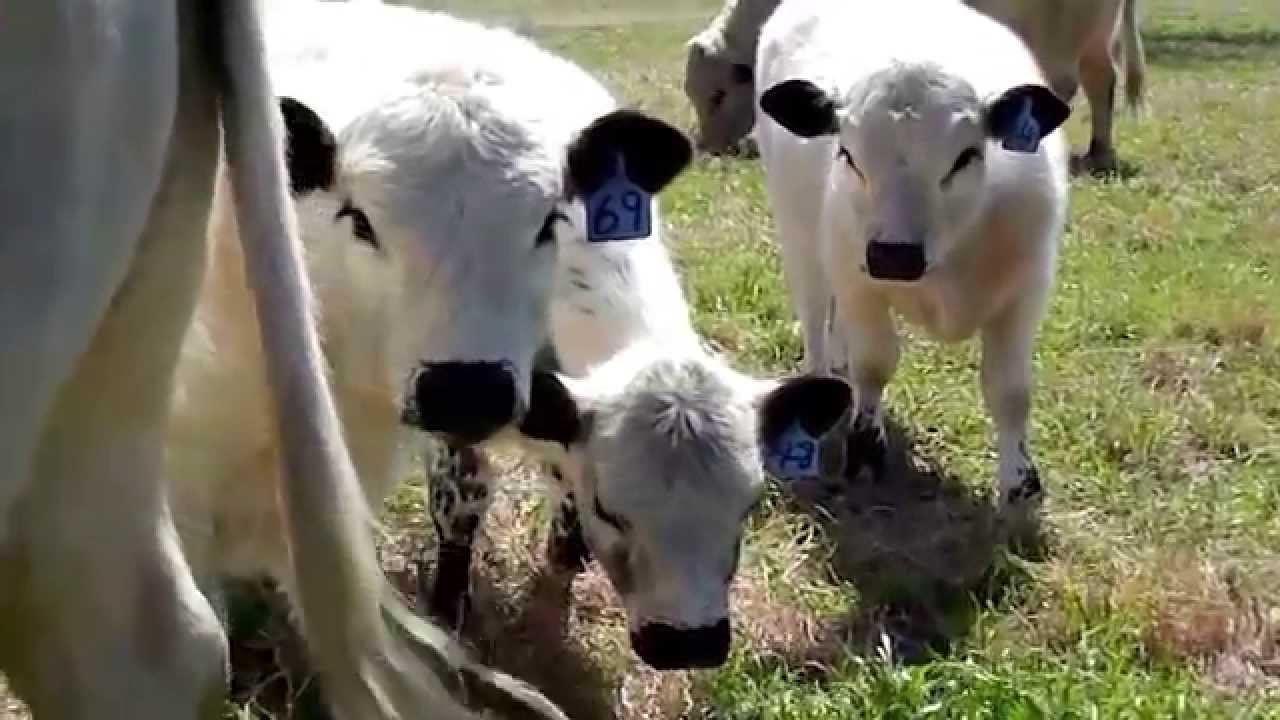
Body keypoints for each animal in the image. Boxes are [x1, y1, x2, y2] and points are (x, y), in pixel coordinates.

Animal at [754, 0, 1072, 532]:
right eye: (847, 154)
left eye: (965, 157)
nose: (893, 255)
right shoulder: (856, 279)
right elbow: (874, 363)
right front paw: (865, 449)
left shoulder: (1025, 293)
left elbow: (1010, 391)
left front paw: (1019, 489)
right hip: (801, 237)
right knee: (816, 320)